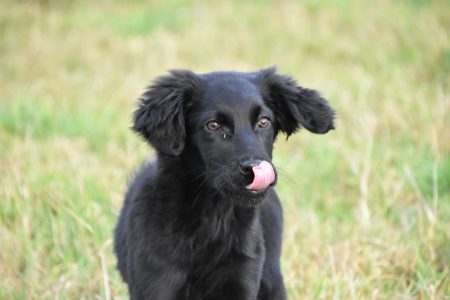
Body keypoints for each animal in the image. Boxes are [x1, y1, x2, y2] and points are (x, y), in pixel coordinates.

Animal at [114, 68, 336, 300]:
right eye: (213, 125)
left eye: (264, 122)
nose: (256, 168)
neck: (214, 218)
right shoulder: (158, 282)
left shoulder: (242, 278)